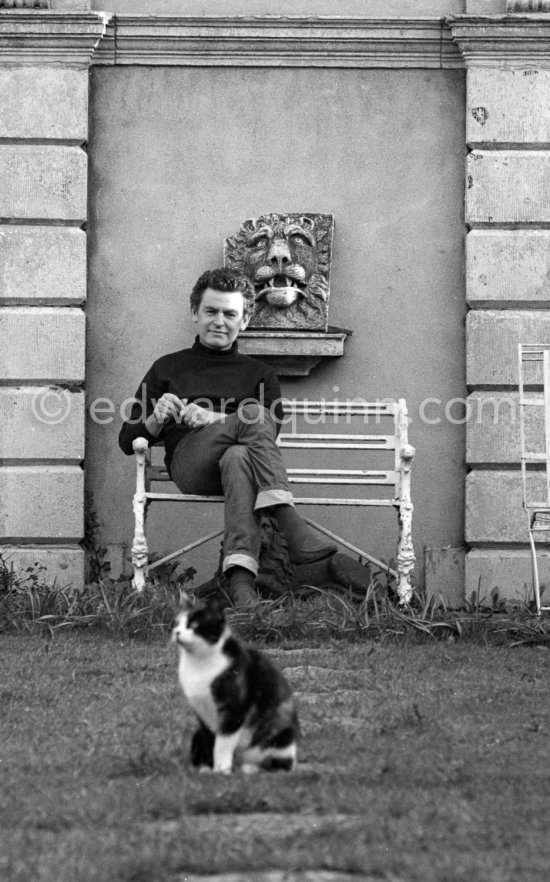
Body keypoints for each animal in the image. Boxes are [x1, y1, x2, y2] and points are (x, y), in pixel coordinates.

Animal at [172, 596, 302, 772]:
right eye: (177, 623)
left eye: (194, 625)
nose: (177, 632)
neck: (198, 664)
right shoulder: (203, 716)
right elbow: (211, 742)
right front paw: (208, 769)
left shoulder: (233, 709)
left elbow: (222, 743)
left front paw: (221, 769)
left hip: (280, 735)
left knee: (279, 763)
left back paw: (250, 769)